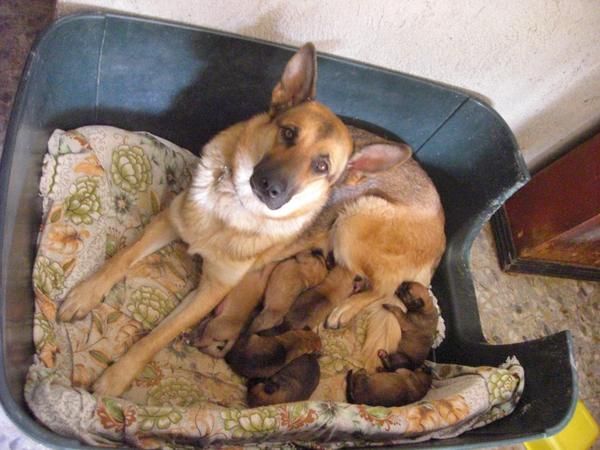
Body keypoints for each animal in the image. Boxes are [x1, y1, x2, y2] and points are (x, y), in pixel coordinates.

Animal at [56, 42, 354, 396]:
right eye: (289, 133)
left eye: (322, 166)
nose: (271, 188)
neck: (232, 203)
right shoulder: (169, 221)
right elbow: (122, 258)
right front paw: (85, 293)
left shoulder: (211, 291)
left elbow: (160, 336)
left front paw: (118, 376)